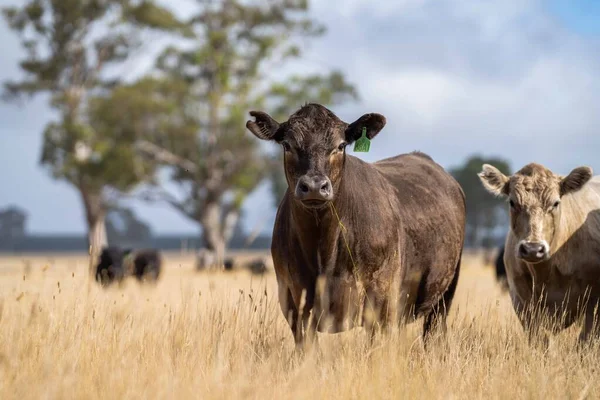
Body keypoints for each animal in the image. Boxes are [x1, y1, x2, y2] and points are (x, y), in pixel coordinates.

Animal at [246, 103, 466, 346]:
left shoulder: (381, 299)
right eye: (287, 145)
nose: (314, 186)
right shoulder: (294, 303)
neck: (323, 252)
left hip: (443, 296)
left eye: (341, 145)